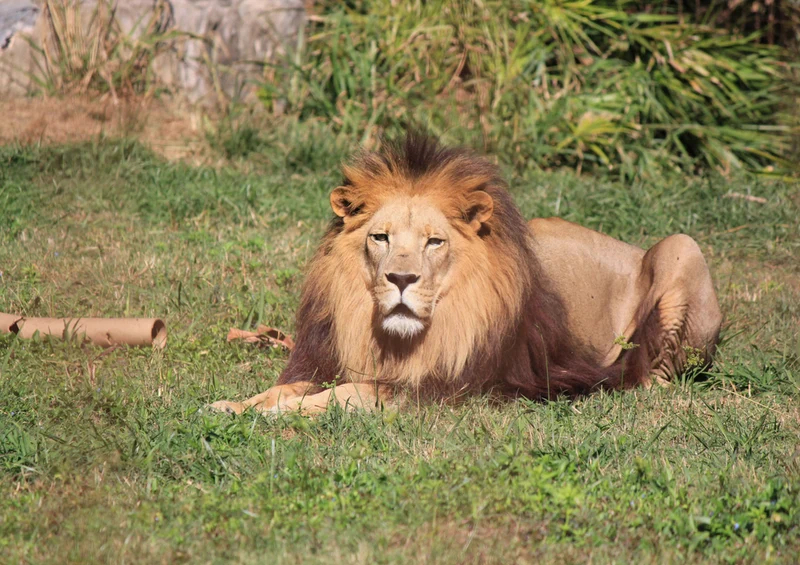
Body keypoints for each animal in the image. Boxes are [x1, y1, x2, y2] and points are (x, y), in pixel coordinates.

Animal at [210, 133, 722, 415]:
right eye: (381, 238)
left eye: (435, 242)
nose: (401, 280)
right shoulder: (328, 359)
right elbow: (285, 386)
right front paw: (234, 405)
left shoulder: (451, 389)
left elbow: (351, 393)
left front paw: (285, 413)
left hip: (683, 248)